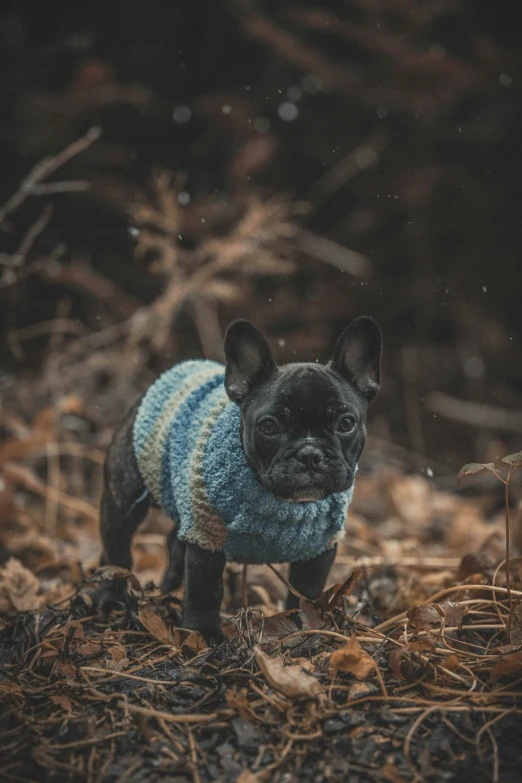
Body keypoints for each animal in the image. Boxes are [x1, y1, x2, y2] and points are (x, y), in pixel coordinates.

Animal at [99, 316, 380, 644]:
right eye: (269, 426)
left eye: (346, 423)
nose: (310, 454)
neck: (281, 504)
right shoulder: (207, 537)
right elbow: (205, 590)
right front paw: (204, 634)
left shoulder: (319, 548)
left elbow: (307, 593)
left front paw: (306, 629)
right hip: (125, 499)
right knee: (116, 550)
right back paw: (112, 599)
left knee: (174, 542)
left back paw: (168, 592)